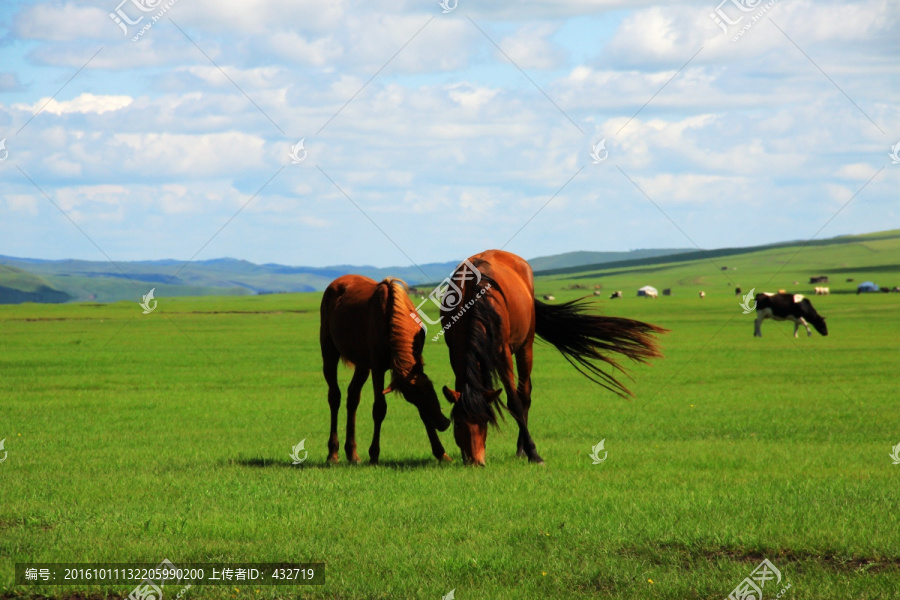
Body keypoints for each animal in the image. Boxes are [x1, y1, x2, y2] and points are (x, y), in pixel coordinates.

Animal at [320, 274, 454, 466]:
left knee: (352, 397)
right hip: (329, 352)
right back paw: (333, 453)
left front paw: (441, 453)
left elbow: (423, 413)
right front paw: (374, 454)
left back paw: (352, 453)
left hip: (362, 364)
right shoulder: (378, 368)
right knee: (334, 397)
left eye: (431, 391)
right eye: (411, 397)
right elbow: (379, 409)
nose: (444, 423)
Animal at [440, 251, 664, 466]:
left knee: (524, 394)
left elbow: (514, 403)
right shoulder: (456, 353)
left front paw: (533, 454)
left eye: (485, 420)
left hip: (525, 345)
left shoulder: (503, 354)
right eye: (457, 423)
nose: (475, 461)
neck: (476, 300)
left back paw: (521, 449)